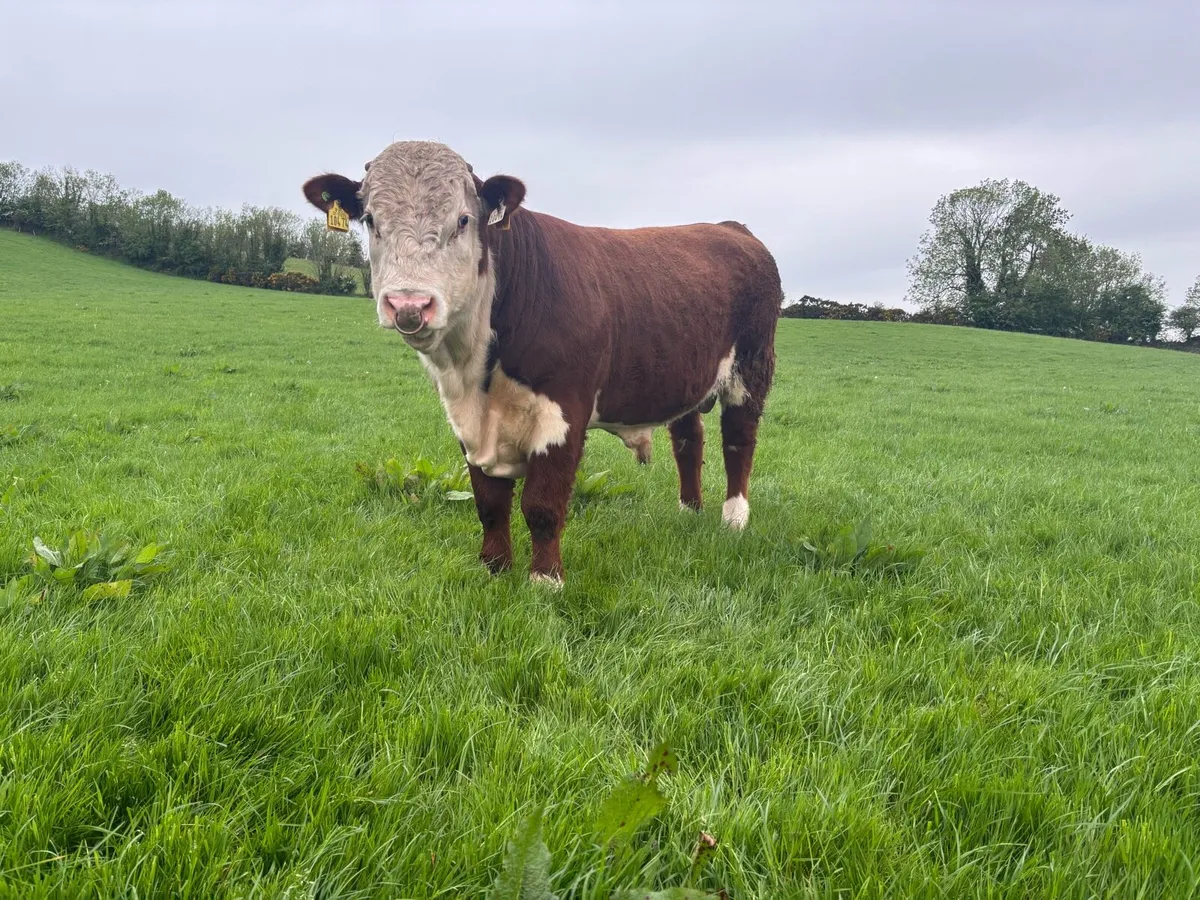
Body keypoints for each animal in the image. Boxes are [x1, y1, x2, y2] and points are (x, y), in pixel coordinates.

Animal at [303, 141, 780, 585]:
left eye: (463, 219)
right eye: (370, 220)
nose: (409, 304)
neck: (475, 375)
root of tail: (729, 227)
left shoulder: (564, 412)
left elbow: (542, 504)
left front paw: (546, 579)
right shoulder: (467, 424)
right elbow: (490, 502)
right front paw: (494, 569)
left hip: (751, 367)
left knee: (739, 439)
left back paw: (733, 519)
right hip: (683, 372)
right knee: (688, 438)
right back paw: (689, 510)